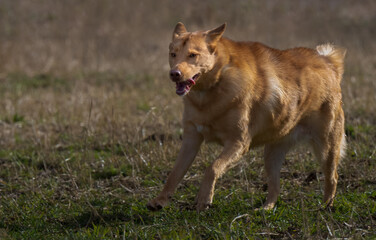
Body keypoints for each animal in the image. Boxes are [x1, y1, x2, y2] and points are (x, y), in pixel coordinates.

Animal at [145, 22, 346, 210]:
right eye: (173, 54)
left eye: (193, 55)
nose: (174, 74)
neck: (213, 87)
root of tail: (328, 62)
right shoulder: (191, 139)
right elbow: (175, 173)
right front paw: (160, 201)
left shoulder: (238, 143)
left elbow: (212, 168)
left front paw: (204, 199)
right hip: (272, 154)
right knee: (275, 188)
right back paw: (265, 209)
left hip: (326, 149)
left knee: (333, 178)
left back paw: (326, 207)